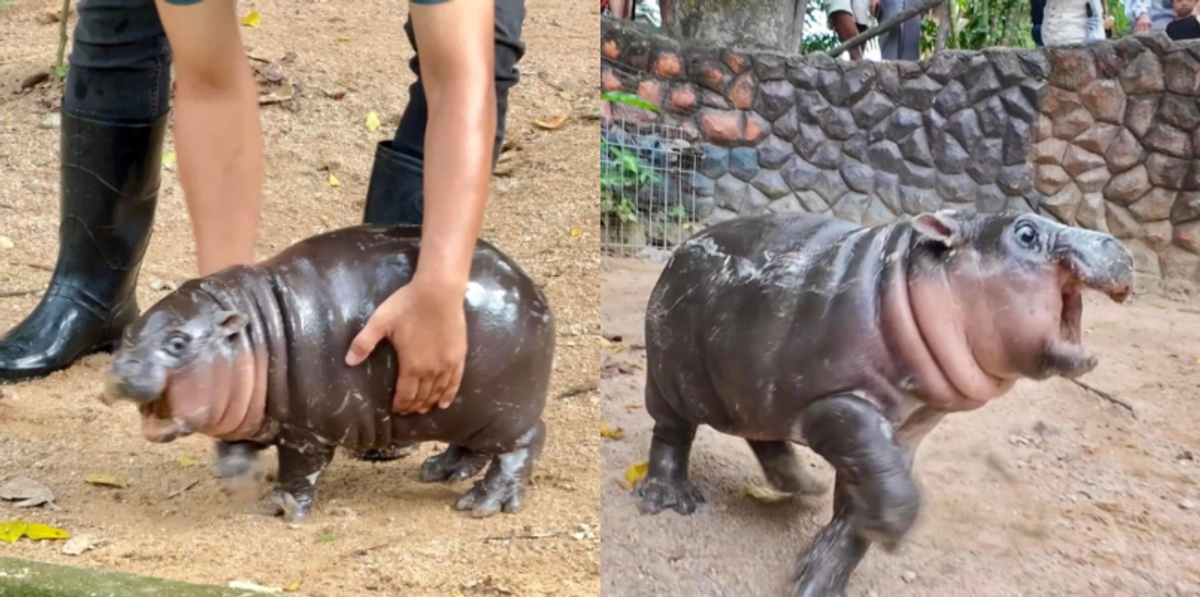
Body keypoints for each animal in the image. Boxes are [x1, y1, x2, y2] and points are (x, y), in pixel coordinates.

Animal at [105, 225, 554, 522]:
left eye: (178, 342)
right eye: (127, 333)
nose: (122, 370)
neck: (256, 333)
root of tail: (532, 289)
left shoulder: (307, 433)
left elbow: (298, 471)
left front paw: (279, 506)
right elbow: (233, 447)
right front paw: (240, 482)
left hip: (504, 411)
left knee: (524, 444)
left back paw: (482, 504)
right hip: (466, 410)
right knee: (473, 447)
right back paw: (439, 470)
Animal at [638, 209, 1132, 597]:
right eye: (1026, 232)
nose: (1117, 245)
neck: (910, 289)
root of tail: (680, 250)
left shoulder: (901, 434)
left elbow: (863, 506)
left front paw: (818, 580)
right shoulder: (840, 409)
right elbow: (888, 487)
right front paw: (894, 531)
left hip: (753, 389)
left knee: (762, 436)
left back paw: (803, 486)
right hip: (669, 377)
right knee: (671, 433)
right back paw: (670, 499)